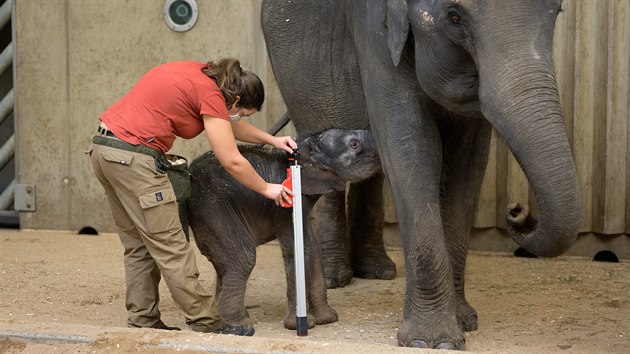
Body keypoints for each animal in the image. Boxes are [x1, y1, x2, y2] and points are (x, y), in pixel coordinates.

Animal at [180, 127, 382, 334]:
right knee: (243, 258)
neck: (303, 151)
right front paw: (301, 325)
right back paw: (240, 328)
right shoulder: (285, 205)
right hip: (214, 209)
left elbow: (312, 247)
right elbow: (298, 248)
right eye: (354, 144)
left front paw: (327, 319)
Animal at [262, 0, 584, 348]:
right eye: (454, 17)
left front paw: (465, 322)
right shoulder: (375, 33)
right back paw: (338, 278)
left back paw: (377, 272)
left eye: (558, 11)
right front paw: (430, 341)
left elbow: (468, 162)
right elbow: (410, 145)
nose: (517, 212)